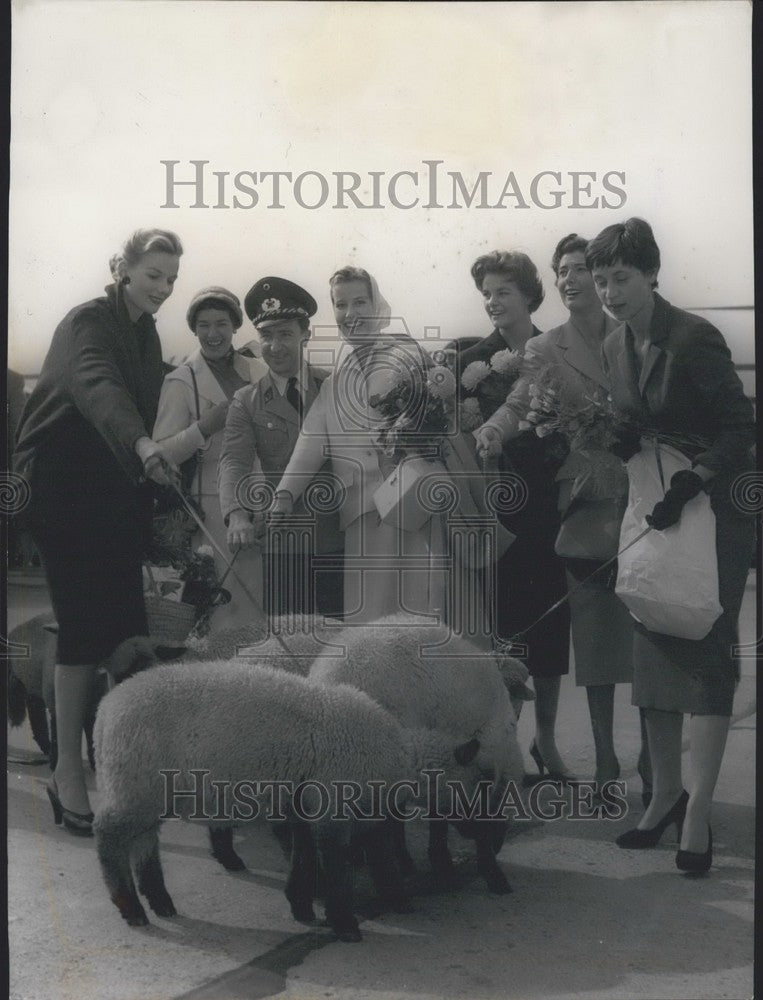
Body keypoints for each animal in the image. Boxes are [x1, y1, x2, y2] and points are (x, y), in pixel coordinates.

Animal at [91, 660, 484, 940]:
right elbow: (341, 868)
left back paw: (160, 901)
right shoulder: (333, 807)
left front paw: (302, 907)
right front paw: (346, 924)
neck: (395, 757)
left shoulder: (308, 807)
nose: (476, 834)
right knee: (109, 837)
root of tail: (105, 710)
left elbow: (307, 859)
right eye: (476, 786)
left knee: (144, 842)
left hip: (148, 790)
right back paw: (131, 908)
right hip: (134, 782)